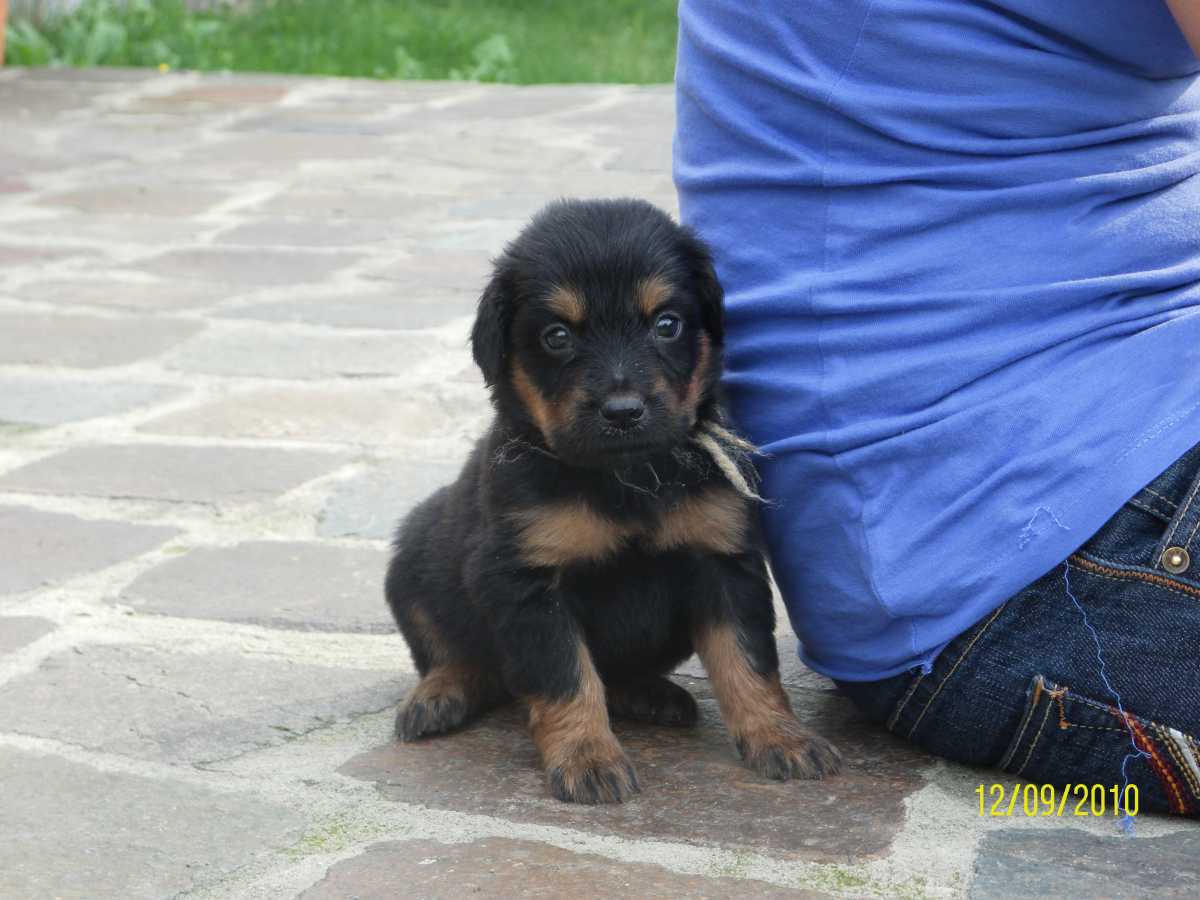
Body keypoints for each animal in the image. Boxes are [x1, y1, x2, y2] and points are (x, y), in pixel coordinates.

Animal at [385, 198, 841, 804]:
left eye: (666, 324)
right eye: (557, 336)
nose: (623, 411)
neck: (626, 477)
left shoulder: (722, 560)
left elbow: (747, 661)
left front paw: (780, 736)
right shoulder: (525, 581)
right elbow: (566, 676)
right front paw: (588, 757)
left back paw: (651, 693)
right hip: (413, 558)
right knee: (459, 656)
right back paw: (438, 696)